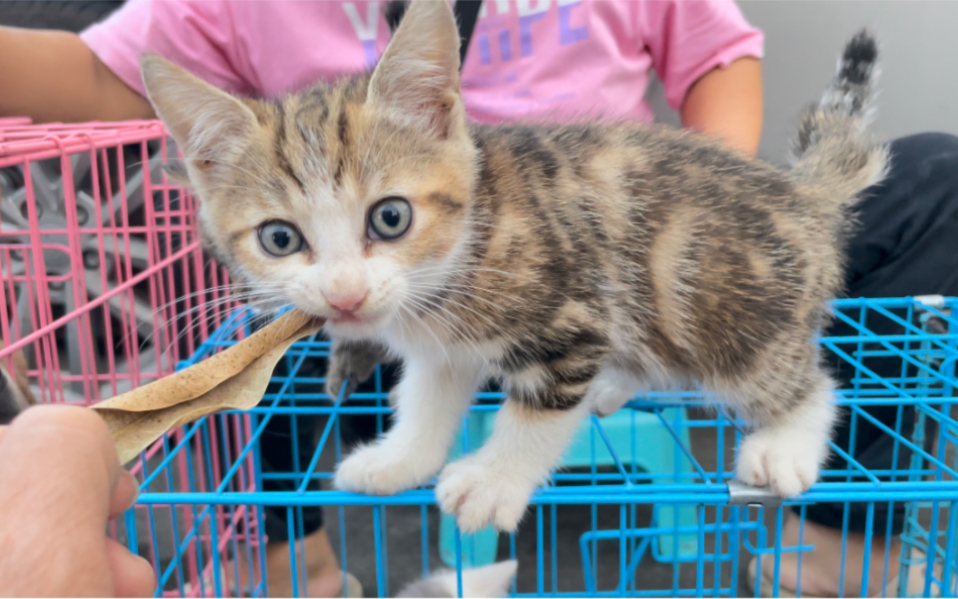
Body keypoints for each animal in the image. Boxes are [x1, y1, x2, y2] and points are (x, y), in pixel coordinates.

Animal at [141, 0, 884, 536]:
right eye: (278, 237)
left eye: (390, 217)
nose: (345, 298)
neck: (466, 247)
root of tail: (803, 190)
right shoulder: (442, 343)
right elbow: (428, 396)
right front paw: (401, 458)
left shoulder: (573, 310)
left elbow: (539, 413)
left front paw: (492, 481)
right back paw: (616, 385)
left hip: (725, 308)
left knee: (808, 382)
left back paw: (785, 443)